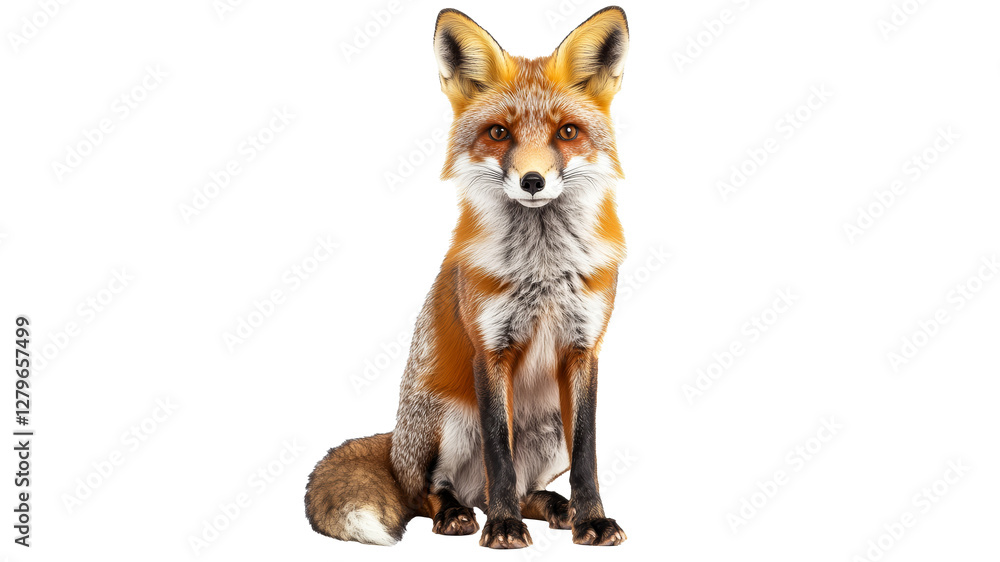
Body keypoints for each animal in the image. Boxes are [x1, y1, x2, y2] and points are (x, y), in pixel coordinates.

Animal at [306, 6, 630, 549]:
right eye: (499, 133)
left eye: (567, 132)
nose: (533, 181)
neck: (541, 268)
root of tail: (395, 444)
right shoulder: (490, 347)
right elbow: (499, 451)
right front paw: (503, 528)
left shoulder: (584, 348)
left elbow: (587, 455)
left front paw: (592, 520)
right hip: (451, 422)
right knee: (433, 491)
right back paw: (460, 514)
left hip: (551, 429)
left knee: (521, 486)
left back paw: (554, 507)